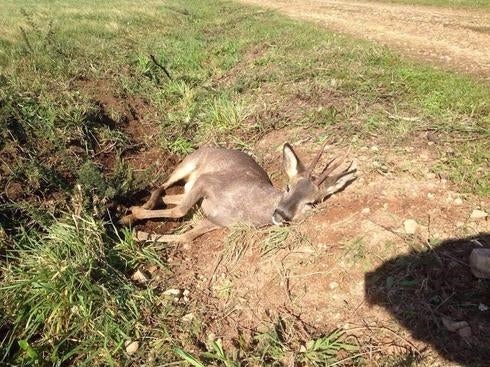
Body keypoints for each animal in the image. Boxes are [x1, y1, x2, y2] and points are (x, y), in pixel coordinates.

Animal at [118, 142, 356, 244]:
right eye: (288, 187)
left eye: (311, 203)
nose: (281, 215)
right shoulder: (208, 181)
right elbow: (179, 212)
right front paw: (130, 223)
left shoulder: (215, 222)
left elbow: (185, 235)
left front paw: (139, 235)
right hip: (187, 165)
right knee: (161, 186)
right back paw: (131, 210)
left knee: (170, 195)